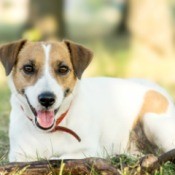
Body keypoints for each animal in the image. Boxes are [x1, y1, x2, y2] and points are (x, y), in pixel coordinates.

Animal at [0, 39, 175, 161]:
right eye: (28, 68)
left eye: (63, 69)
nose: (47, 99)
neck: (52, 130)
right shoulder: (18, 155)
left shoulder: (89, 151)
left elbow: (60, 158)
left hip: (151, 121)